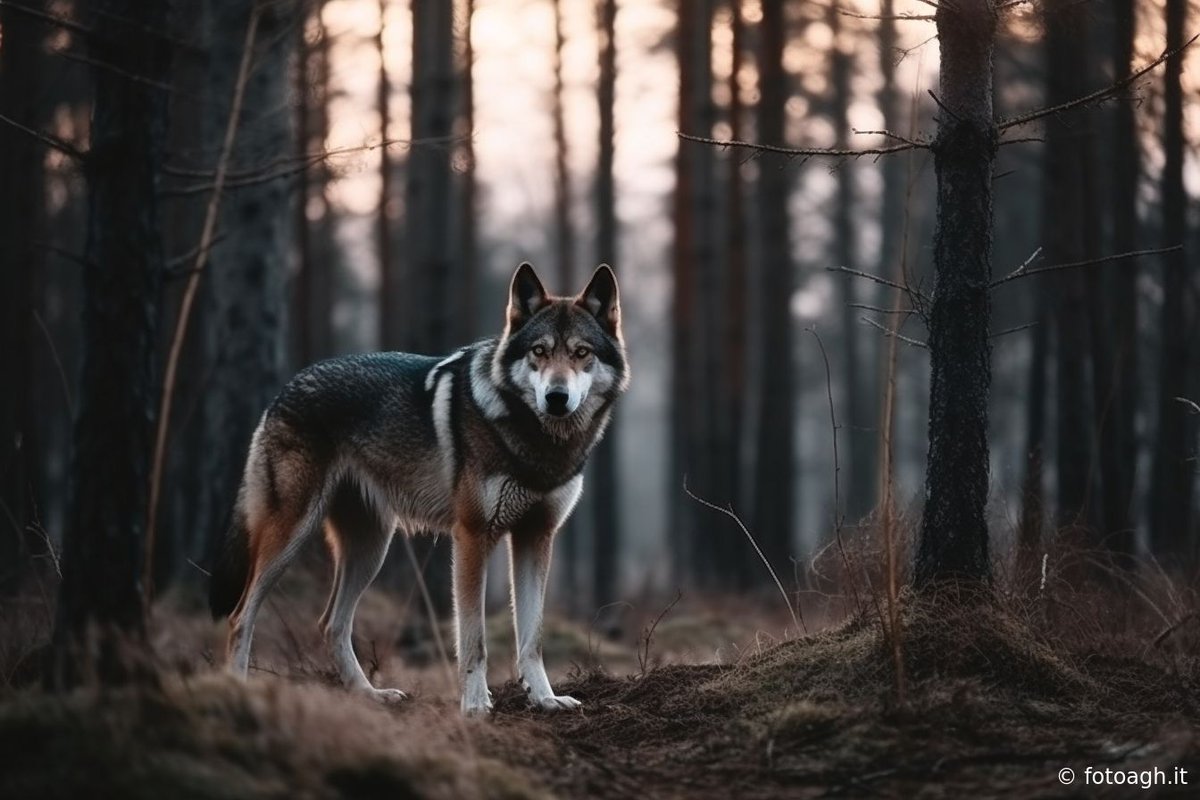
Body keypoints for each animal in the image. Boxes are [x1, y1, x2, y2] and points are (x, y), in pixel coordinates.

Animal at [207, 266, 633, 714]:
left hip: (371, 549)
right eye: (539, 351)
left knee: (331, 624)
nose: (556, 397)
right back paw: (239, 690)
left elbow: (531, 637)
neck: (538, 444)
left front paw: (546, 698)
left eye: (581, 353)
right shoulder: (472, 537)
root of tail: (286, 388)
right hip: (292, 537)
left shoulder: (536, 536)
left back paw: (370, 694)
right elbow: (474, 639)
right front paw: (475, 706)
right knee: (241, 616)